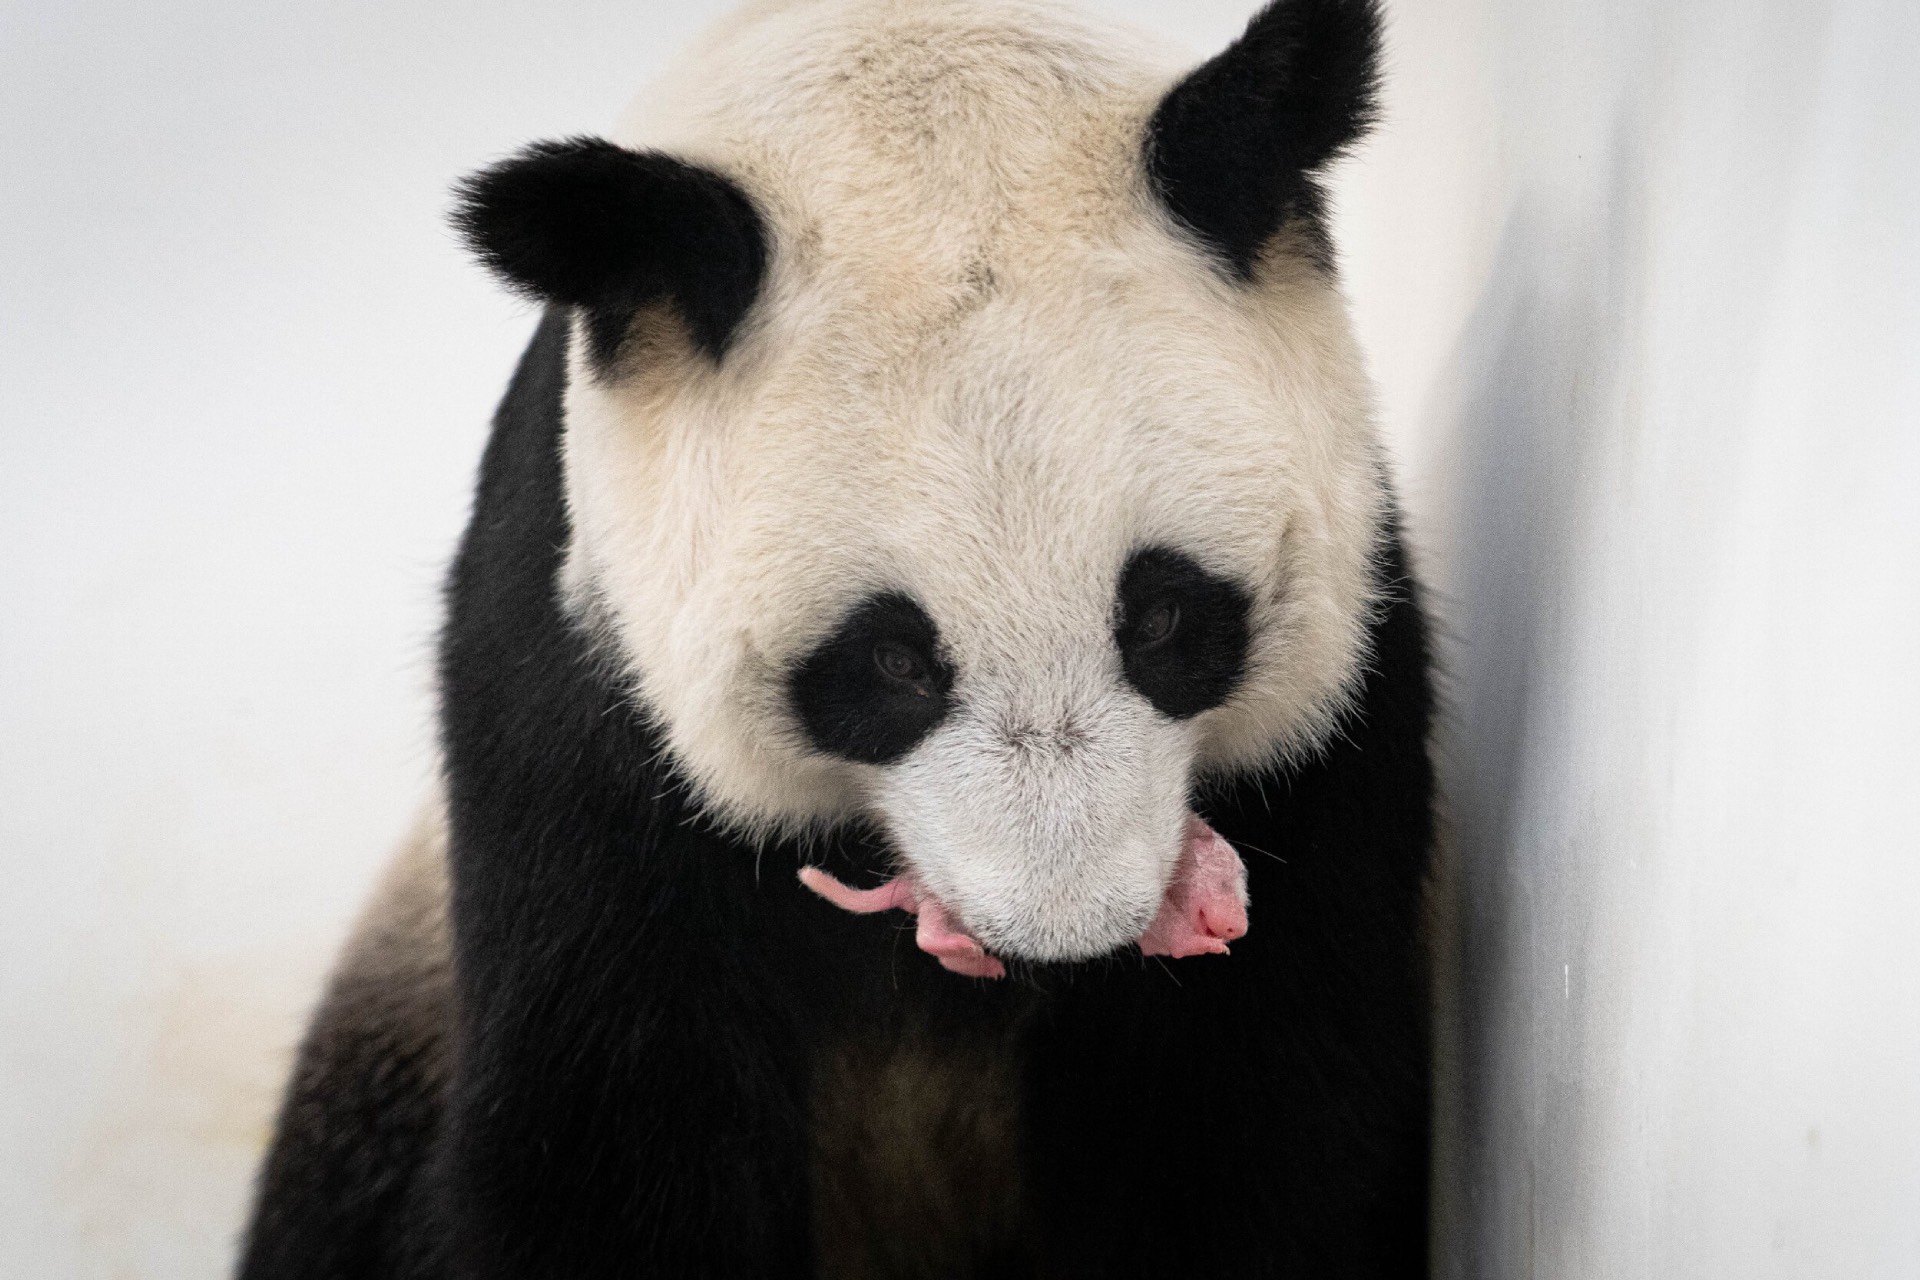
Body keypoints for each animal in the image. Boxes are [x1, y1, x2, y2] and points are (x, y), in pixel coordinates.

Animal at [240, 0, 1436, 1274]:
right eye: (892, 660)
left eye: (1161, 615)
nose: (1061, 932)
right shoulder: (578, 703)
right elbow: (614, 1123)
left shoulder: (1333, 715)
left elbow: (1254, 1109)